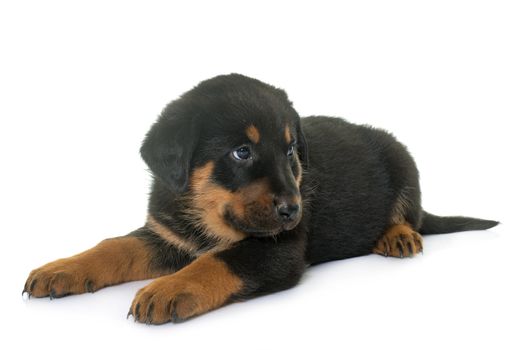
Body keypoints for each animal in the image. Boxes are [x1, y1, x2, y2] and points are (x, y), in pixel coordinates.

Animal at [22, 74, 498, 326]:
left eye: (290, 151)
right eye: (241, 152)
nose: (293, 210)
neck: (206, 214)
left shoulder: (278, 250)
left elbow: (217, 261)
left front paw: (169, 288)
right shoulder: (166, 235)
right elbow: (115, 246)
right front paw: (61, 269)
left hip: (402, 160)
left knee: (410, 213)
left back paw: (397, 235)